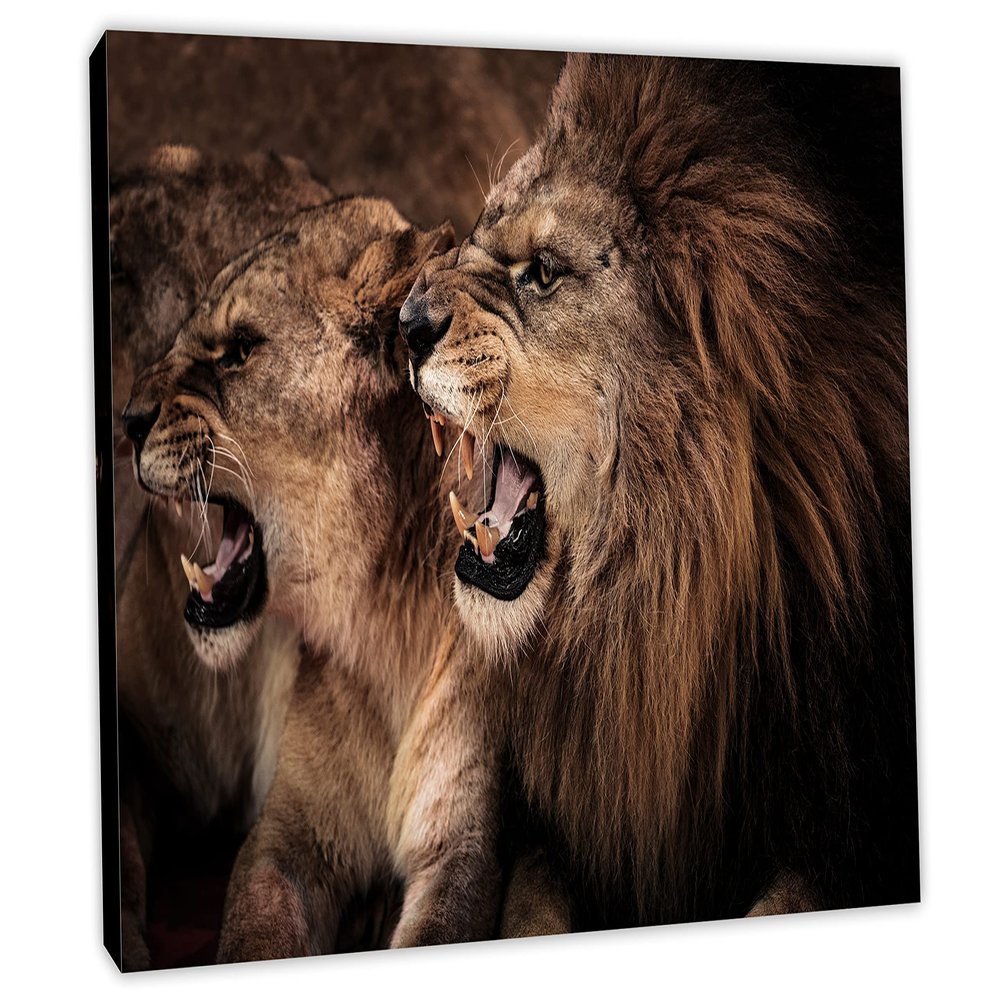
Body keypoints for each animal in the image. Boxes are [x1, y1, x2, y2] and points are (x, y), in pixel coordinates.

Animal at [123, 197, 569, 961]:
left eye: (238, 351)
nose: (123, 422)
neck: (379, 608)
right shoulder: (285, 835)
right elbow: (255, 932)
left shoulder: (462, 845)